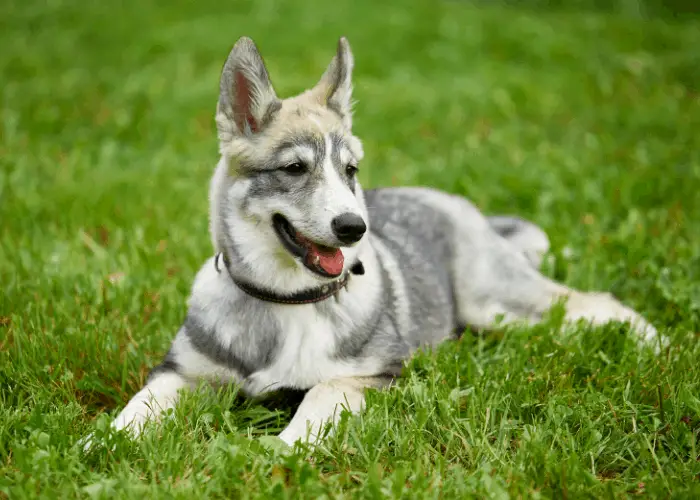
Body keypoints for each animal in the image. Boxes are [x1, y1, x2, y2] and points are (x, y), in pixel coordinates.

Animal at [90, 36, 660, 450]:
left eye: (350, 170)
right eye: (294, 169)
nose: (353, 228)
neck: (287, 303)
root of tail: (452, 201)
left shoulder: (368, 376)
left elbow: (318, 396)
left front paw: (280, 450)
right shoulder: (182, 373)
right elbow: (138, 406)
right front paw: (102, 445)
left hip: (498, 302)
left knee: (592, 302)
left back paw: (655, 345)